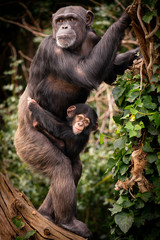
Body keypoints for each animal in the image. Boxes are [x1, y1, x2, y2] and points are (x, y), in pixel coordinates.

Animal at [14, 5, 139, 238]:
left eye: (72, 19)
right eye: (60, 20)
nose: (64, 27)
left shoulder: (94, 38)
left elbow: (108, 74)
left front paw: (132, 55)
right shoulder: (51, 50)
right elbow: (84, 72)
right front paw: (125, 18)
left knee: (74, 167)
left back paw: (46, 215)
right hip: (27, 143)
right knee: (59, 167)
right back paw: (68, 222)